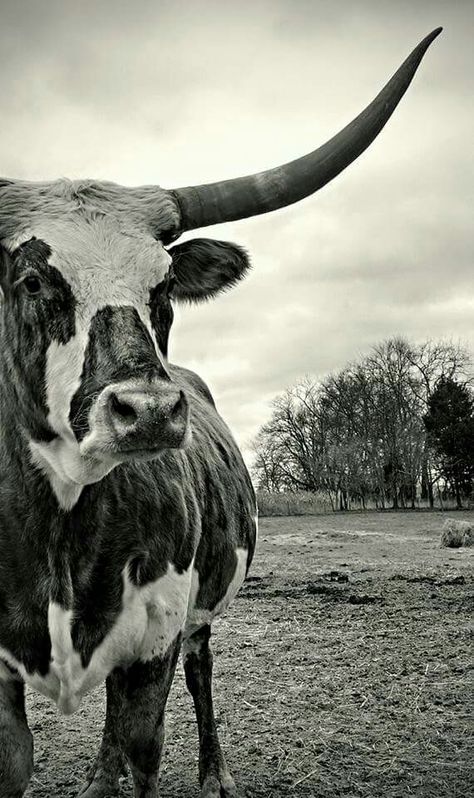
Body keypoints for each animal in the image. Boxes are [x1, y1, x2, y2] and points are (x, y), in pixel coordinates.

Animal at [0, 29, 440, 798]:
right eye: (31, 279)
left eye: (164, 287)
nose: (148, 411)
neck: (61, 519)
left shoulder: (156, 636)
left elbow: (145, 745)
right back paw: (97, 777)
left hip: (196, 617)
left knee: (199, 674)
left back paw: (215, 773)